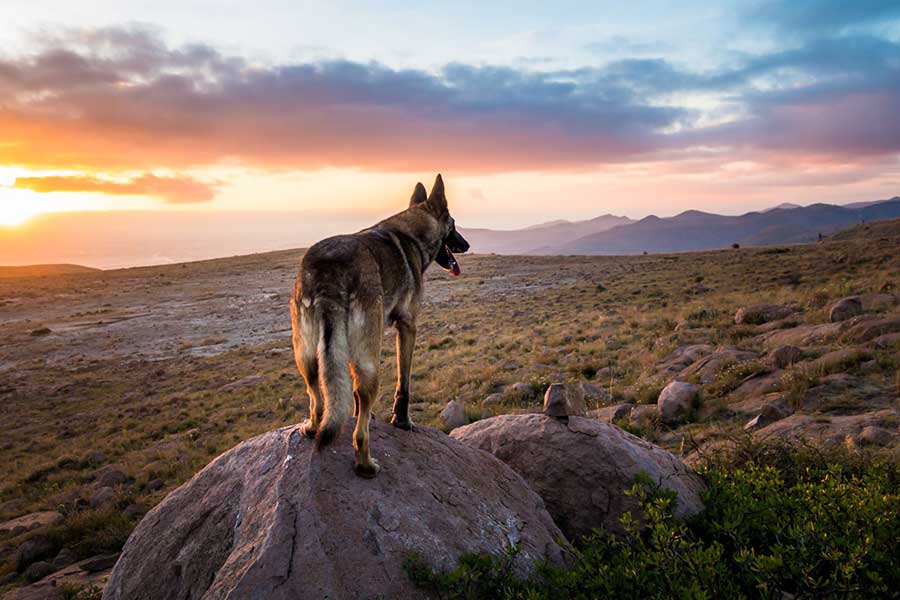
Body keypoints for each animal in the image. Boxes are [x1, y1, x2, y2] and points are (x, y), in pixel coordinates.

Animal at [290, 173, 472, 478]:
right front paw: (402, 421)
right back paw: (365, 464)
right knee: (360, 431)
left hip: (306, 355)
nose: (467, 245)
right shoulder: (407, 327)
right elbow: (404, 382)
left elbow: (350, 391)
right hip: (369, 363)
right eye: (454, 225)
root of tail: (329, 274)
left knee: (316, 396)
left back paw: (313, 428)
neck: (411, 234)